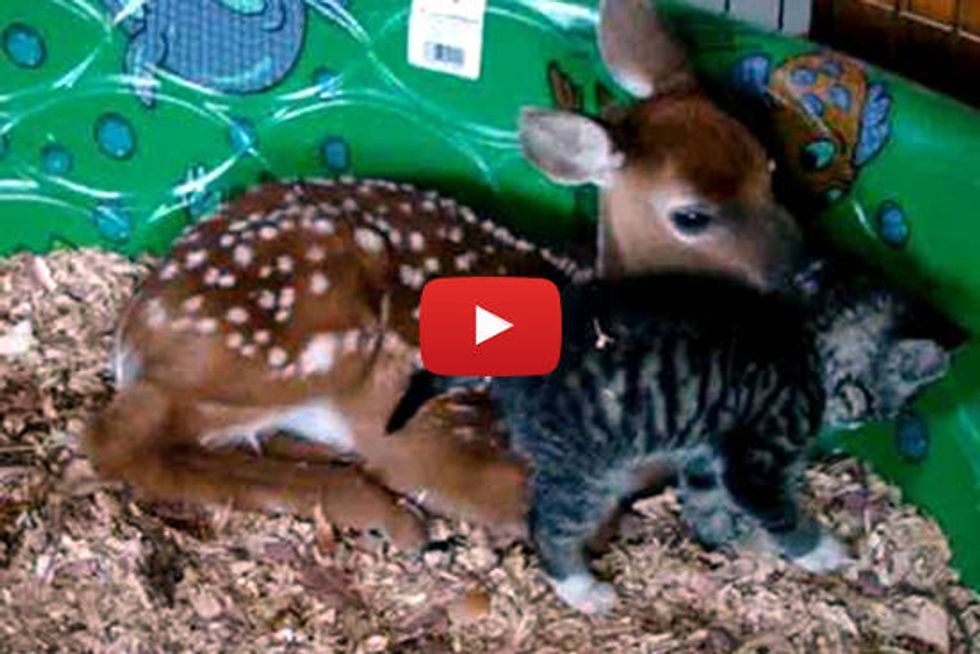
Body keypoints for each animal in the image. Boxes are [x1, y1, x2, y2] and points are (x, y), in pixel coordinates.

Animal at [82, 0, 804, 548]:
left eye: (769, 169)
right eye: (691, 214)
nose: (803, 268)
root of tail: (137, 321)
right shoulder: (448, 436)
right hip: (288, 341)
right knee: (118, 439)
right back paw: (390, 515)